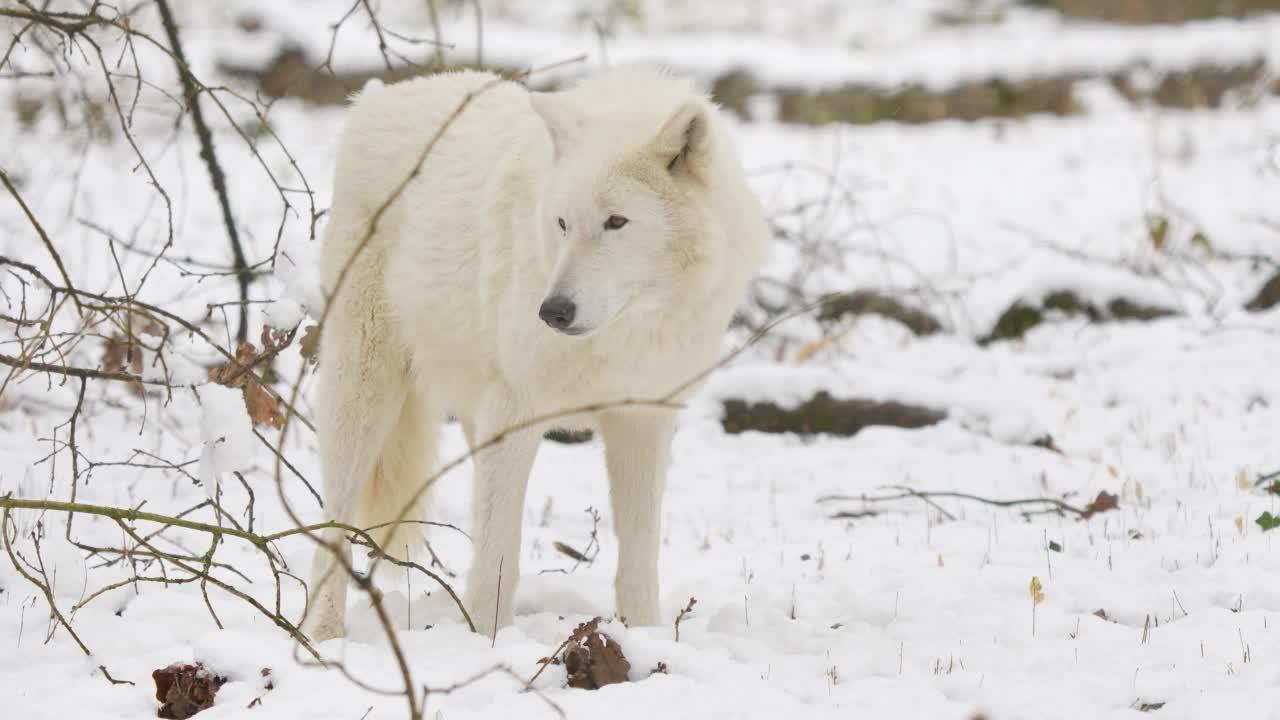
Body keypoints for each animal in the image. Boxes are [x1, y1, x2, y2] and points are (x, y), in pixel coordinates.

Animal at [307, 64, 768, 635]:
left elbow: (638, 561)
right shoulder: (515, 412)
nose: (553, 312)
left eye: (616, 221)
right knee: (330, 526)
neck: (623, 334)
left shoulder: (642, 420)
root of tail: (373, 97)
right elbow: (498, 560)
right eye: (563, 223)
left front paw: (645, 637)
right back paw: (323, 635)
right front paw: (489, 643)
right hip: (364, 392)